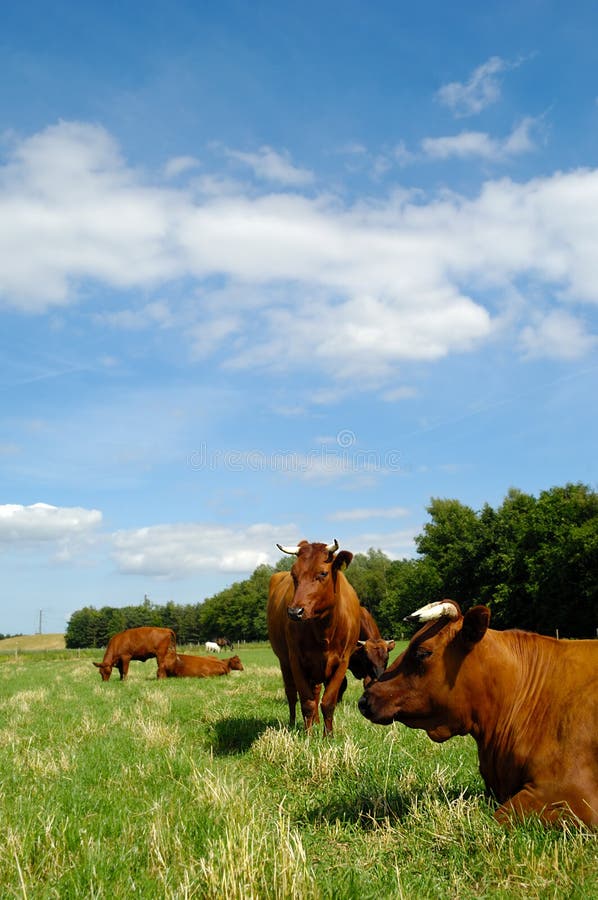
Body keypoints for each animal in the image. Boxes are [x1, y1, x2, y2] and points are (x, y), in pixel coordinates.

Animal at [270, 536, 364, 736]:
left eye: (323, 573)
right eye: (294, 574)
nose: (295, 612)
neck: (324, 629)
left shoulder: (342, 662)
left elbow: (328, 702)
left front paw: (328, 735)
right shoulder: (296, 660)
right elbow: (306, 702)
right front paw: (308, 735)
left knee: (316, 692)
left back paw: (317, 721)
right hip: (284, 662)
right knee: (292, 694)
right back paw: (293, 723)